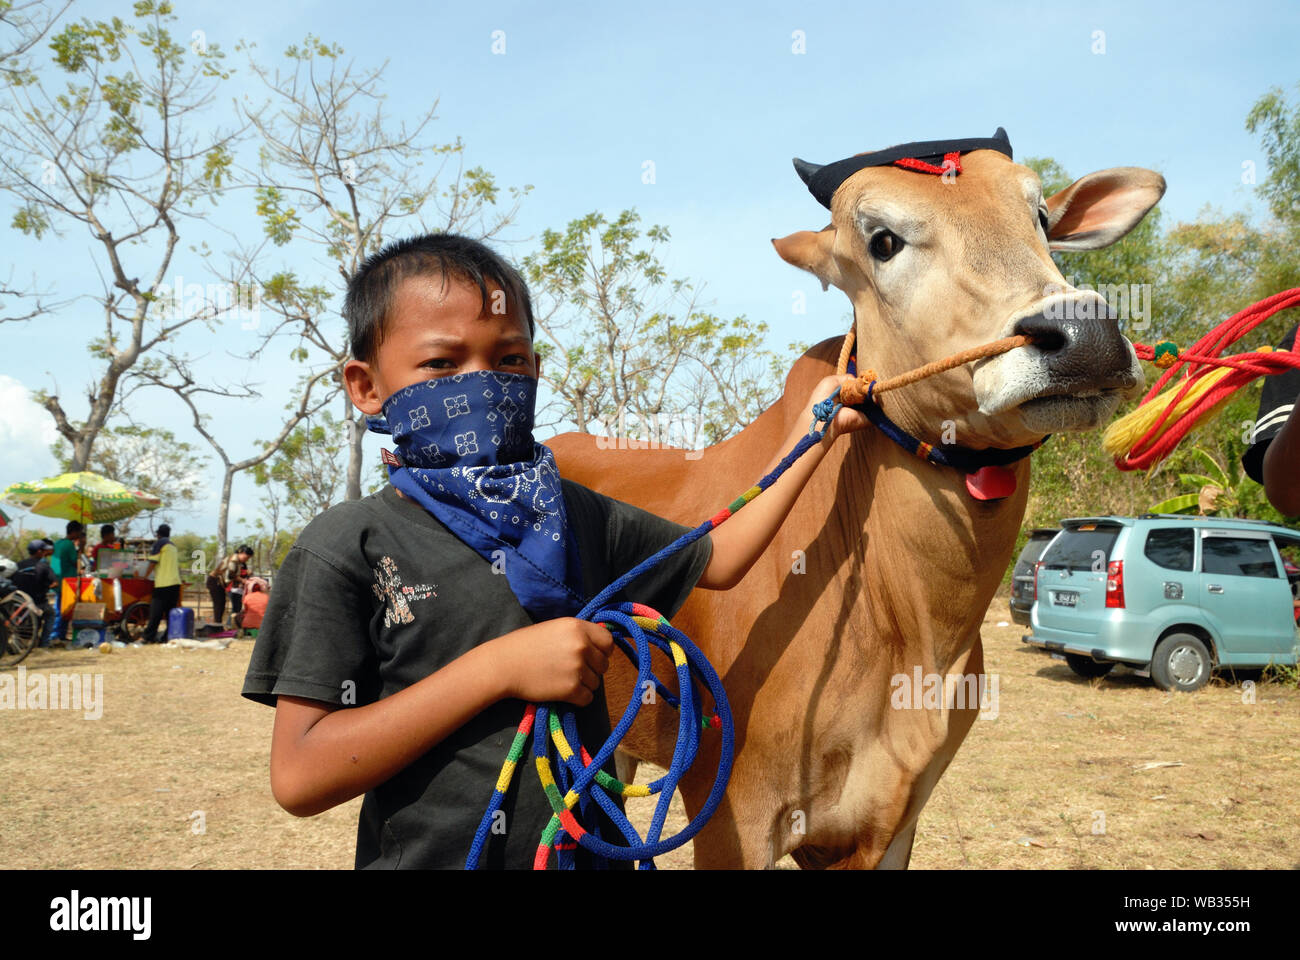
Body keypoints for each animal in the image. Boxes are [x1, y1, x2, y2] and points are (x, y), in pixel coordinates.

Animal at [543, 136, 1164, 868]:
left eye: (1040, 216)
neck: (910, 627)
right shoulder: (734, 817)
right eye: (882, 239)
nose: (1084, 335)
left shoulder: (893, 820)